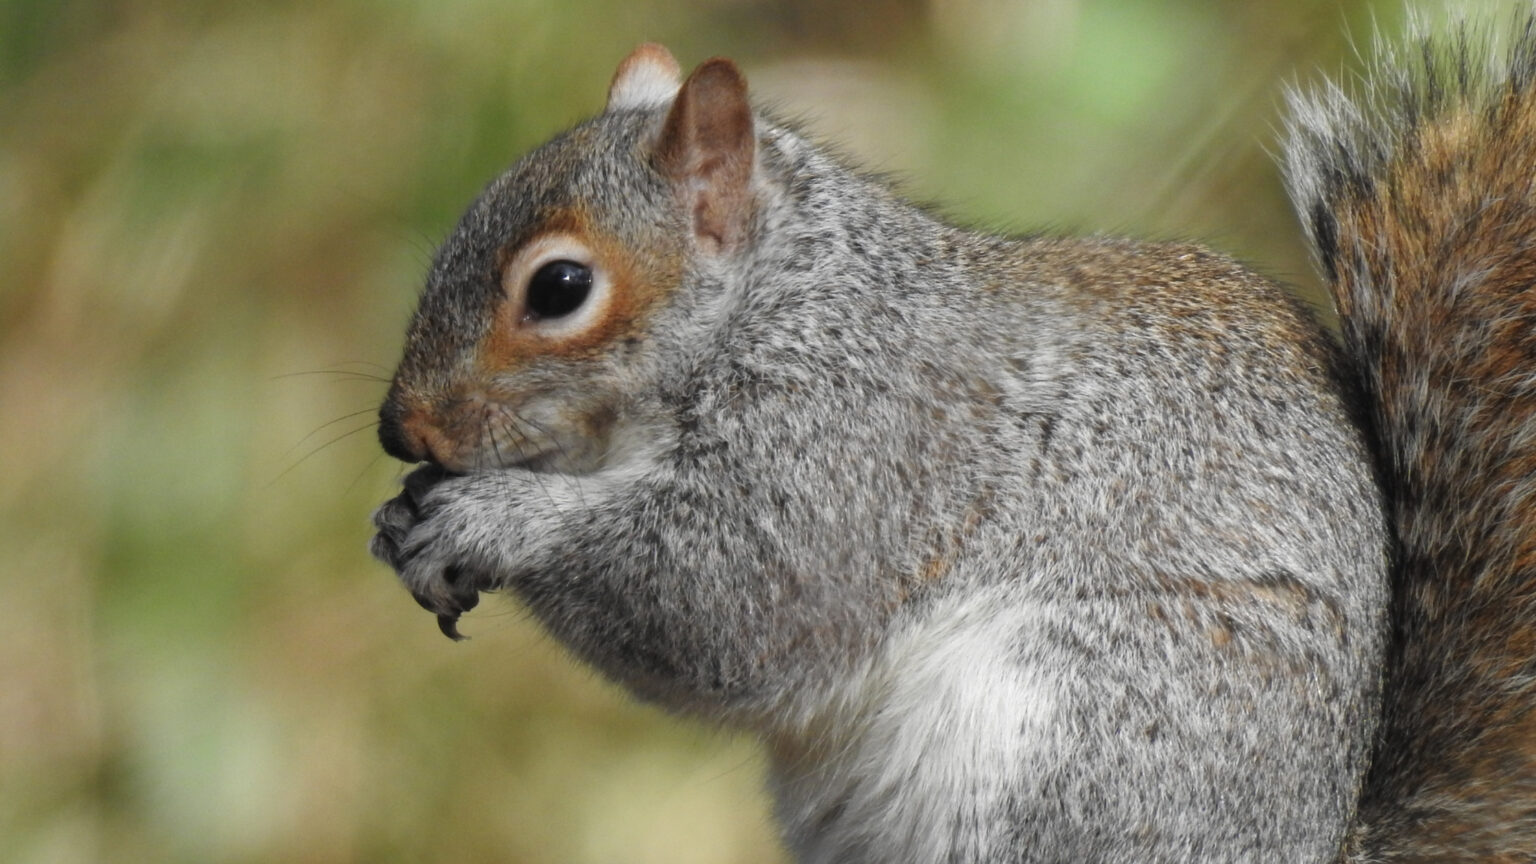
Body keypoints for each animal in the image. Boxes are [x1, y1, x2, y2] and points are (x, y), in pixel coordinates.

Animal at [368, 15, 1536, 864]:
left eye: (560, 287)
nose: (396, 428)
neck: (780, 300)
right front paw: (402, 517)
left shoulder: (868, 443)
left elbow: (723, 601)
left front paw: (490, 520)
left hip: (1080, 741)